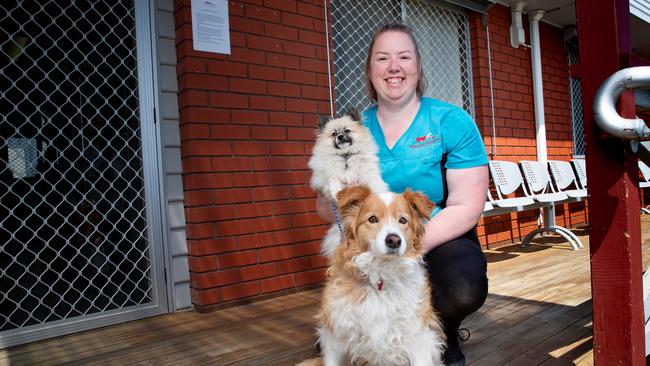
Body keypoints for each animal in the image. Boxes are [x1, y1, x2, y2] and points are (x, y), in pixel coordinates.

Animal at [300, 186, 446, 366]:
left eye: (403, 220)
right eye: (372, 219)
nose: (394, 240)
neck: (381, 278)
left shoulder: (417, 337)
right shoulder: (335, 337)